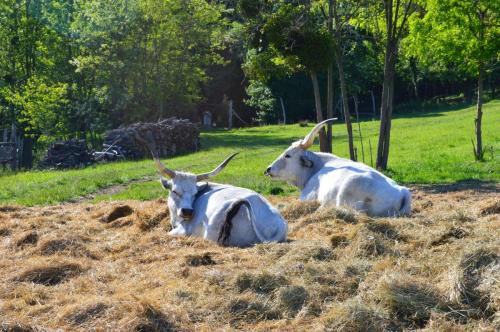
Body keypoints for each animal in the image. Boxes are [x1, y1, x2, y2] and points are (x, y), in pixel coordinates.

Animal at [264, 118, 412, 217]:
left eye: (288, 155)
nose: (268, 169)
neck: (317, 168)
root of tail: (402, 191)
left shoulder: (307, 196)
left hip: (347, 193)